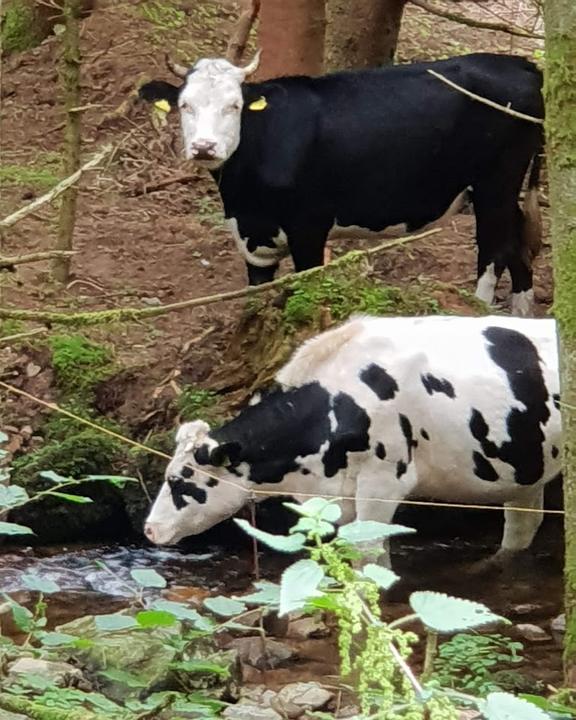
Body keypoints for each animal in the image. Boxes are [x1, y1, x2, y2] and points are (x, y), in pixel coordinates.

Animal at [140, 52, 544, 316]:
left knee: (493, 250)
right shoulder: (251, 235)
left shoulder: (308, 226)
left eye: (234, 106)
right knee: (517, 243)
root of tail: (522, 65)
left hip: (496, 182)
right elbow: (256, 297)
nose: (204, 147)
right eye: (185, 105)